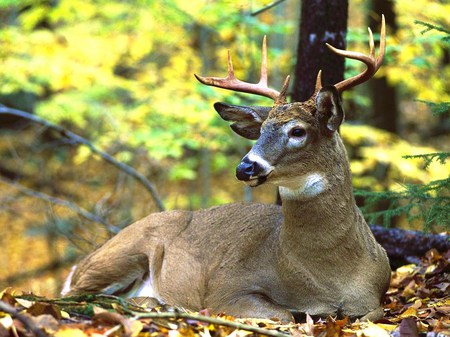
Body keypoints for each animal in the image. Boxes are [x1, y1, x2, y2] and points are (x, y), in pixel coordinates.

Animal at [61, 17, 392, 322]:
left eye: (298, 131)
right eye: (261, 131)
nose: (245, 166)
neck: (328, 278)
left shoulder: (375, 297)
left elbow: (370, 314)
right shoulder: (227, 286)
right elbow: (283, 314)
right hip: (121, 253)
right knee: (75, 294)